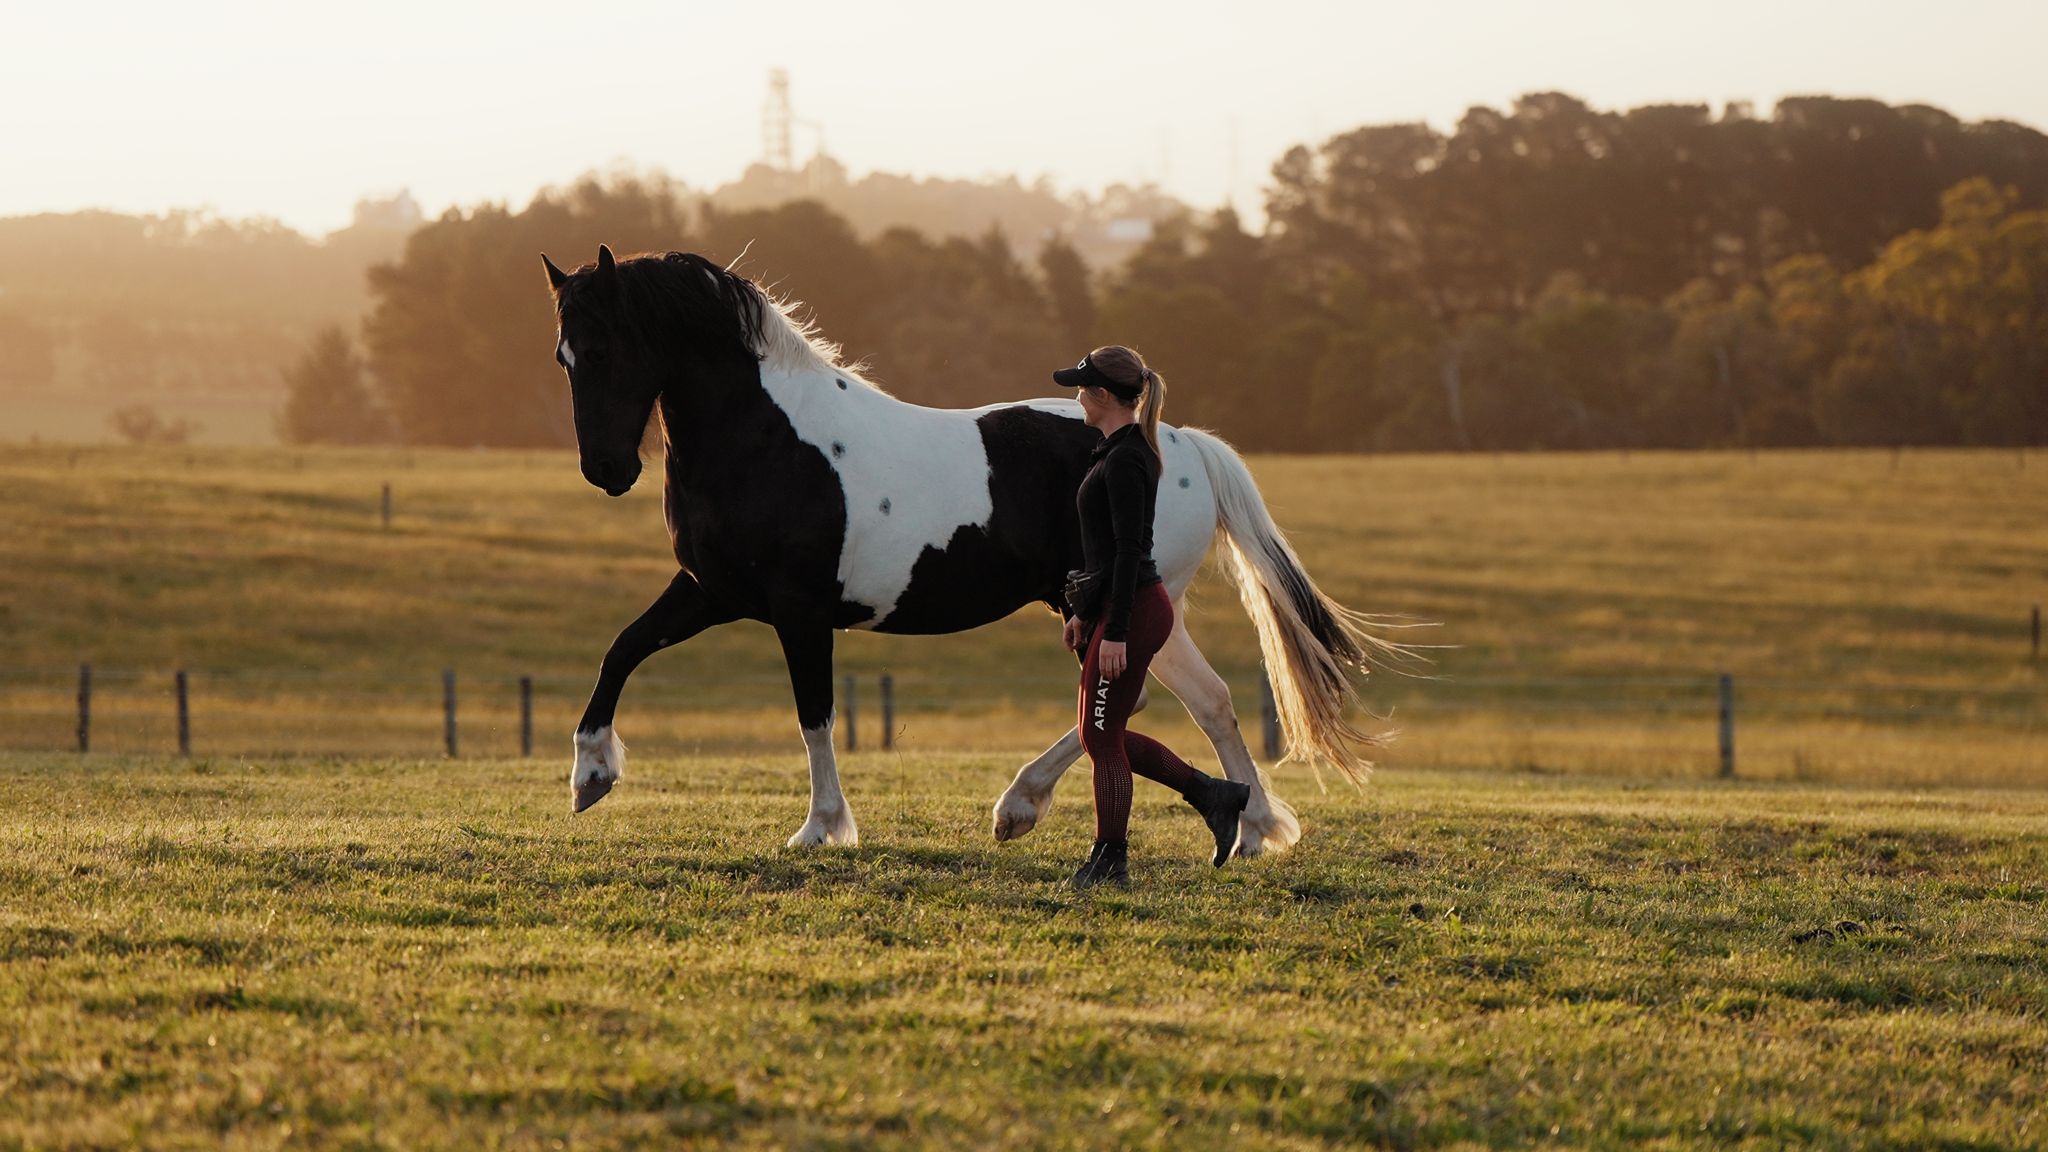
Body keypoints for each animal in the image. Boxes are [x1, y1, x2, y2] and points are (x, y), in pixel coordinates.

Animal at [541, 245, 1407, 856]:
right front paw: (591, 776)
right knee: (1203, 702)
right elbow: (622, 650)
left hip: (1114, 600)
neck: (768, 438)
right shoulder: (711, 590)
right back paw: (1249, 825)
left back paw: (1029, 805)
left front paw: (823, 827)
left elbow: (814, 714)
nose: (606, 470)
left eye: (608, 348)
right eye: (563, 356)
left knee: (1147, 703)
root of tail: (1181, 444)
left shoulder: (797, 610)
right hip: (1125, 604)